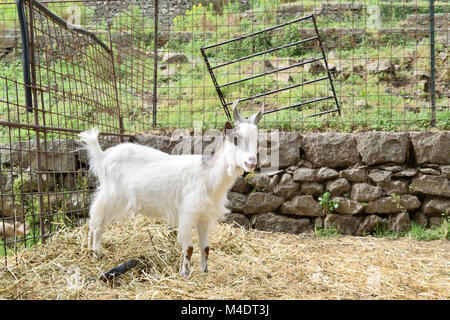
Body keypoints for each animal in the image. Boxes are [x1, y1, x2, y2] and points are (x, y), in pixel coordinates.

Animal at [78, 100, 262, 278]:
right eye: (236, 139)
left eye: (257, 140)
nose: (251, 162)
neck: (208, 176)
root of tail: (103, 156)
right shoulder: (187, 213)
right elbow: (189, 248)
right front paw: (185, 274)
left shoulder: (205, 217)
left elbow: (206, 248)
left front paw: (205, 273)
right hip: (113, 195)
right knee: (98, 221)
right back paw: (97, 252)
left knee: (94, 217)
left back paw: (89, 248)